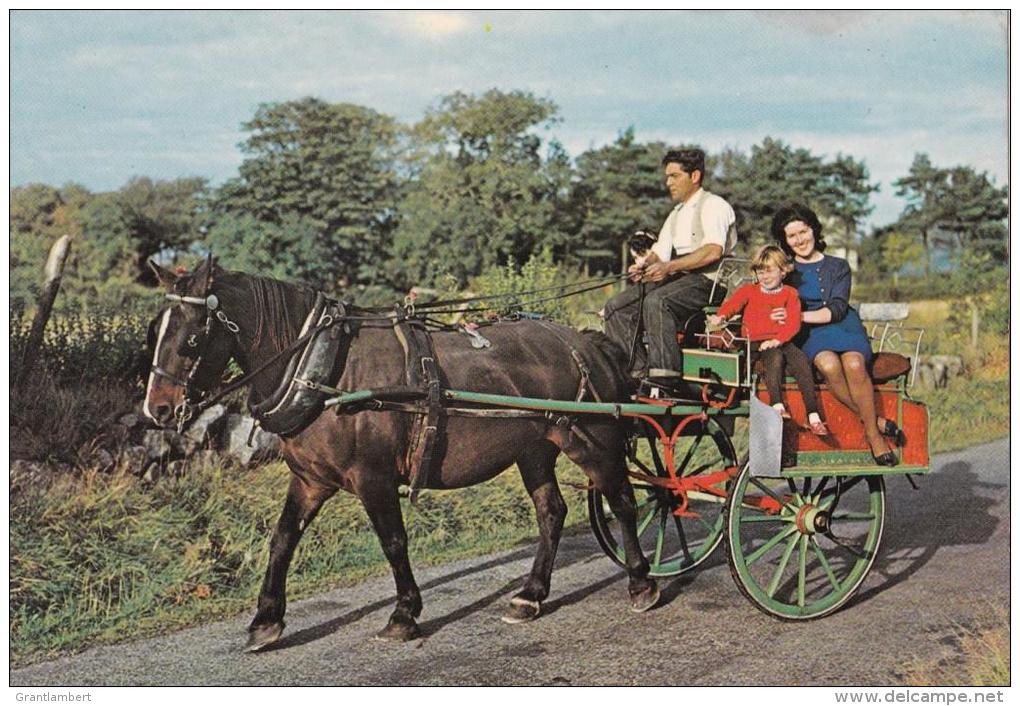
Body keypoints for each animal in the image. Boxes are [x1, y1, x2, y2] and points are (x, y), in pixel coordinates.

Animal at [143, 259, 656, 648]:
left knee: (624, 502)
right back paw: (530, 596)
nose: (157, 409)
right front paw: (265, 620)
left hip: (593, 441)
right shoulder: (310, 480)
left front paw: (404, 614)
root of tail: (586, 342)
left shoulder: (374, 478)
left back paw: (641, 582)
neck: (322, 371)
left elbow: (393, 542)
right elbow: (283, 539)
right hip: (534, 448)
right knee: (551, 512)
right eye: (152, 333)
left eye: (191, 338)